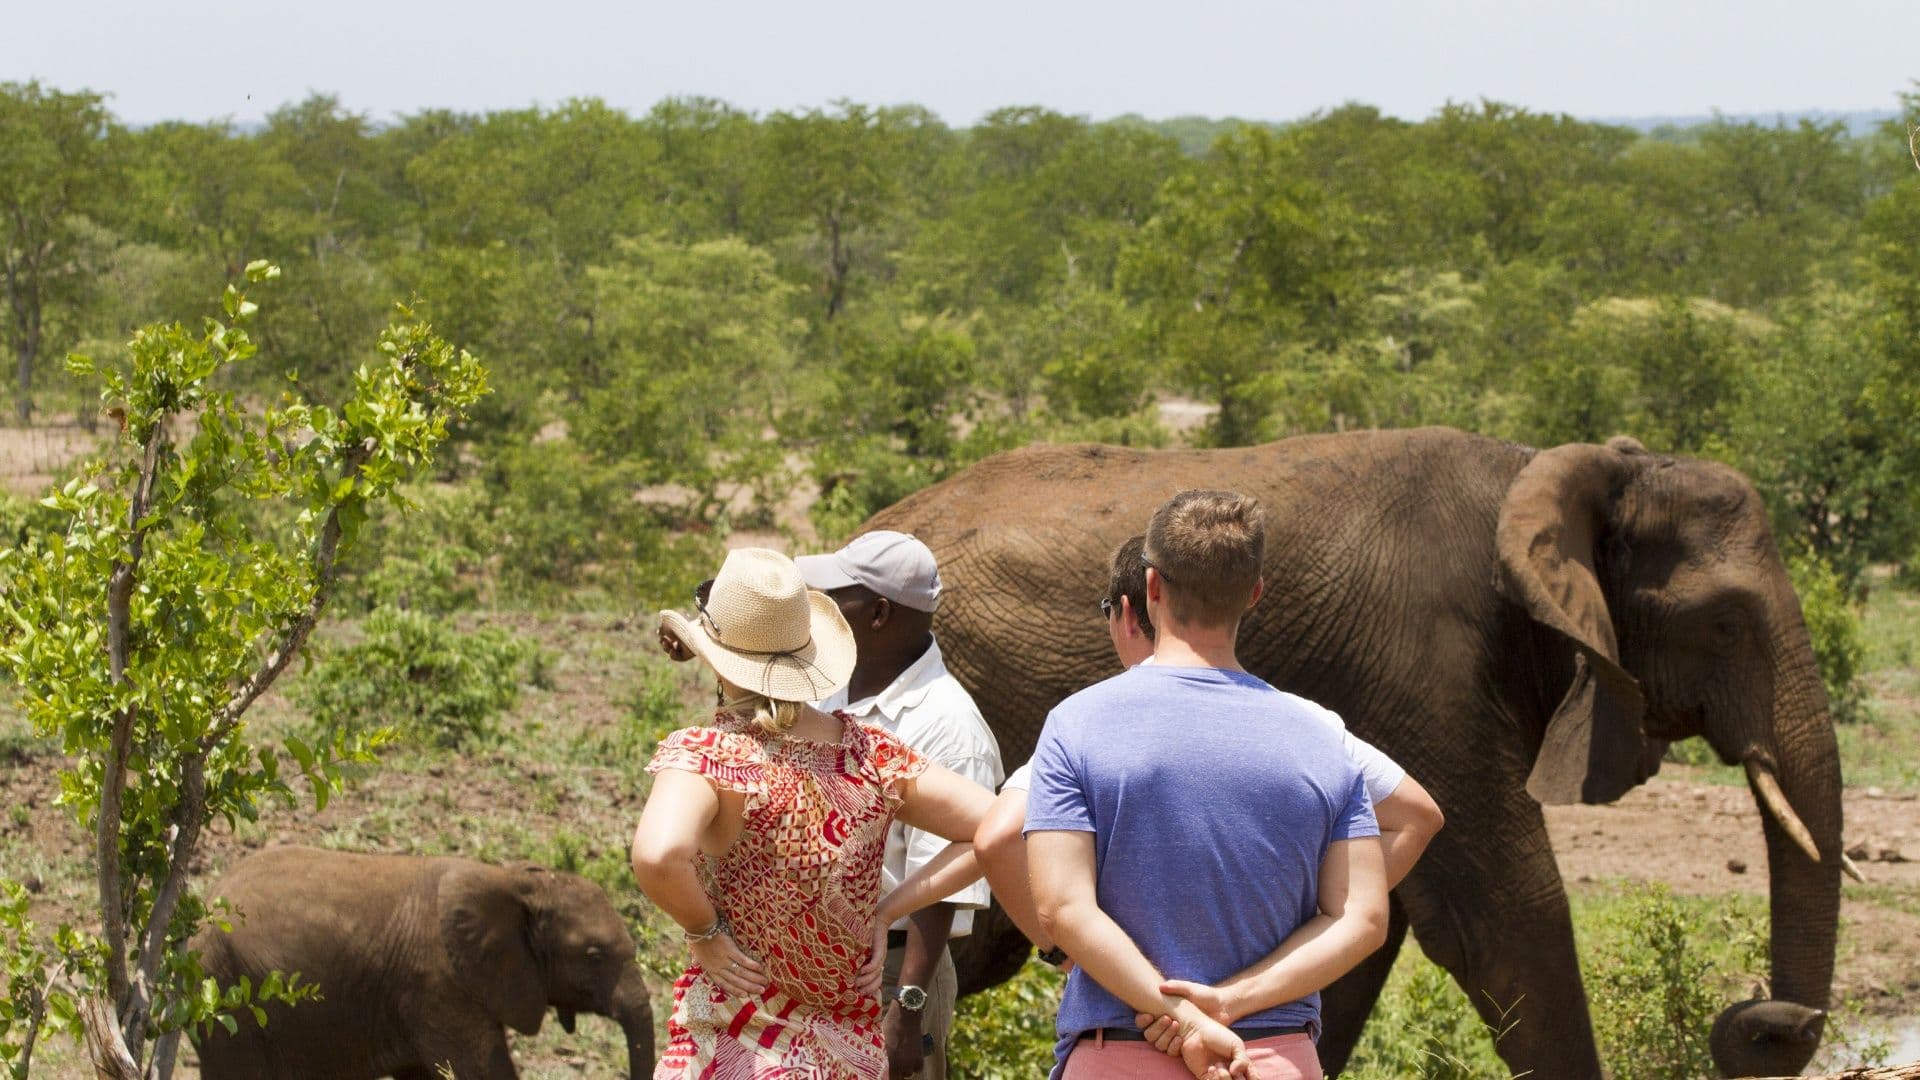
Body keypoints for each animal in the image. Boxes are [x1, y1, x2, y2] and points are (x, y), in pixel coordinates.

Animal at [863, 426, 1843, 1080]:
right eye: (1725, 622)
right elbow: (1506, 915)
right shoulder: (1428, 665)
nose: (1769, 1017)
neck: (1556, 472)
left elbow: (1355, 928)